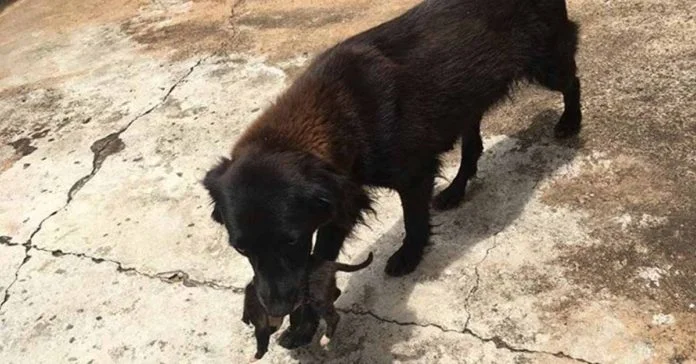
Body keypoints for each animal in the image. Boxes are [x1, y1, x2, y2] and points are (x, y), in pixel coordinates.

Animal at [242, 253, 372, 358]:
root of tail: (329, 264)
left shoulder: (260, 318)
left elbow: (262, 337)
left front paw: (255, 357)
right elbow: (294, 320)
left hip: (318, 298)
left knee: (334, 317)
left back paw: (326, 339)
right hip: (323, 290)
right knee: (337, 292)